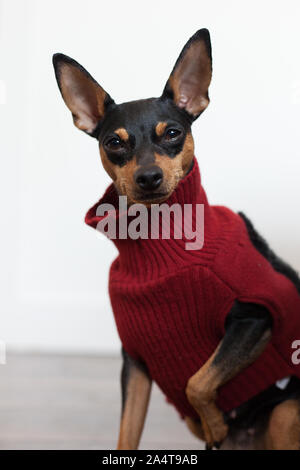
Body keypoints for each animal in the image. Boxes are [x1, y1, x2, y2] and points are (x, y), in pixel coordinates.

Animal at [52, 30, 300, 452]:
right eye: (113, 143)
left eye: (172, 133)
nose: (149, 177)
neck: (159, 249)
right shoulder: (135, 364)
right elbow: (127, 434)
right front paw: (211, 424)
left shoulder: (257, 317)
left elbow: (196, 382)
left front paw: (213, 422)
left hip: (285, 413)